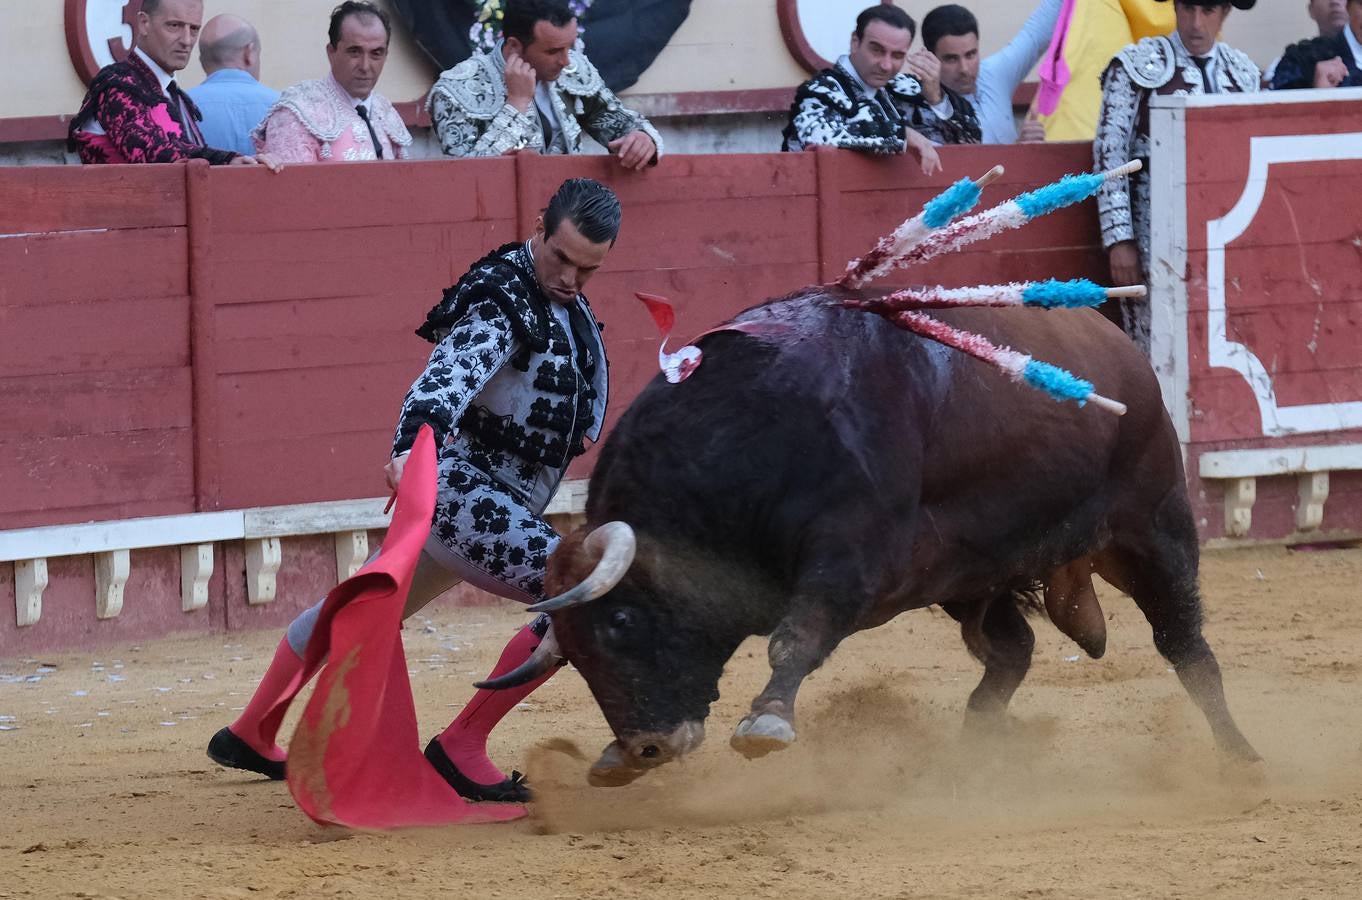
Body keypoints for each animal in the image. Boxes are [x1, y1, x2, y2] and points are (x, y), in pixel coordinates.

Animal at [484, 284, 1258, 784]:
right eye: (571, 654)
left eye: (620, 622)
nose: (644, 749)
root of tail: (1118, 344)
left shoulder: (848, 557)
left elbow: (796, 636)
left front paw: (766, 724)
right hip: (972, 578)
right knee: (1011, 650)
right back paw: (977, 750)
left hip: (1151, 524)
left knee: (1185, 646)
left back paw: (1241, 757)